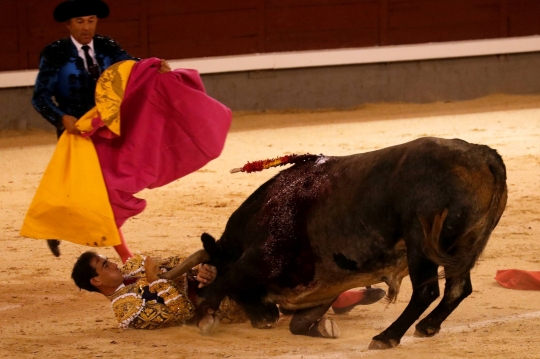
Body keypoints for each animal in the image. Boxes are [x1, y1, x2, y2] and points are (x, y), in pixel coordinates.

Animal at [189, 137, 506, 348]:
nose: (264, 319)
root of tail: (482, 154)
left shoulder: (261, 260)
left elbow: (225, 280)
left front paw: (204, 317)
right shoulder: (323, 287)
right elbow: (298, 324)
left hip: (421, 244)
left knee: (426, 292)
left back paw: (387, 336)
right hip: (461, 244)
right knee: (458, 288)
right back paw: (427, 327)